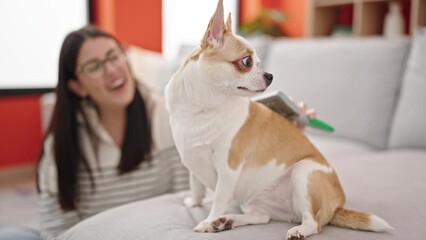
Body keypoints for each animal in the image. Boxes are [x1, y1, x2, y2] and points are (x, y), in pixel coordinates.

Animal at [164, 0, 392, 238]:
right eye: (247, 62)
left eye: (258, 62)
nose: (270, 75)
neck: (204, 108)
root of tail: (338, 206)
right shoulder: (194, 164)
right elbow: (196, 187)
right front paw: (194, 204)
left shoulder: (227, 170)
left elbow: (218, 198)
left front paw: (208, 220)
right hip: (254, 200)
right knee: (261, 217)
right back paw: (227, 221)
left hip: (303, 173)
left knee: (314, 223)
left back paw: (295, 230)